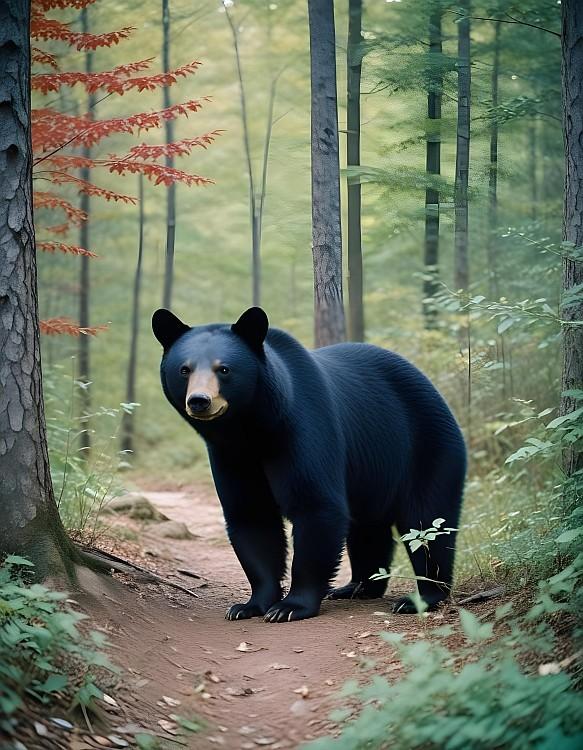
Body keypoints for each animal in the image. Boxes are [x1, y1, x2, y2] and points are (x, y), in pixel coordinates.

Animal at [152, 306, 466, 623]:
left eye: (224, 369)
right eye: (184, 370)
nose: (199, 401)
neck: (253, 429)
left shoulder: (304, 429)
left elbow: (316, 507)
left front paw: (290, 606)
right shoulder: (231, 456)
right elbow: (250, 515)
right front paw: (250, 605)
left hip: (427, 447)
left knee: (427, 521)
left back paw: (422, 597)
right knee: (368, 528)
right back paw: (357, 587)